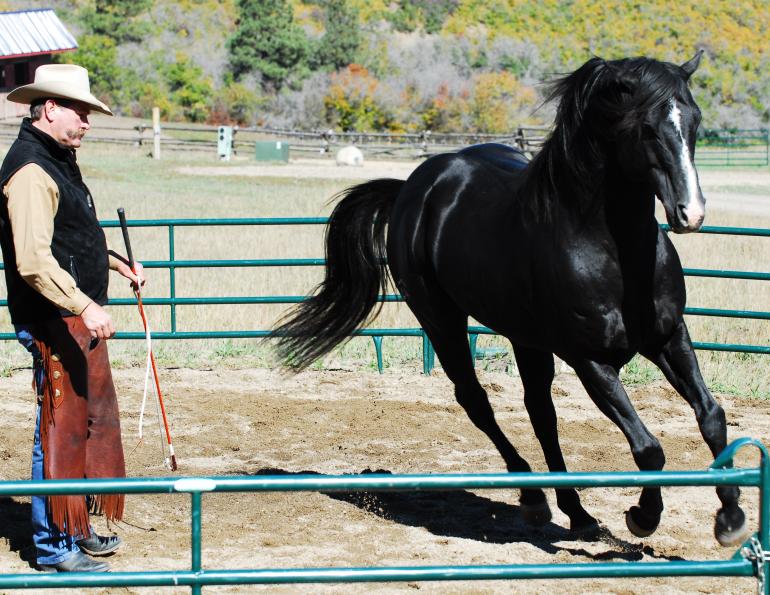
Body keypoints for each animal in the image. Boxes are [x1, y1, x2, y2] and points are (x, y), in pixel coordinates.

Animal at [271, 51, 748, 546]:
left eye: (694, 120)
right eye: (647, 127)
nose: (691, 213)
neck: (614, 252)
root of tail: (412, 188)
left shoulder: (670, 338)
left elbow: (712, 417)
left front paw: (731, 518)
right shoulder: (592, 361)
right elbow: (648, 448)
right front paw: (642, 516)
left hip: (526, 339)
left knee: (541, 415)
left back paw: (576, 513)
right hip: (441, 320)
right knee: (477, 400)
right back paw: (535, 498)